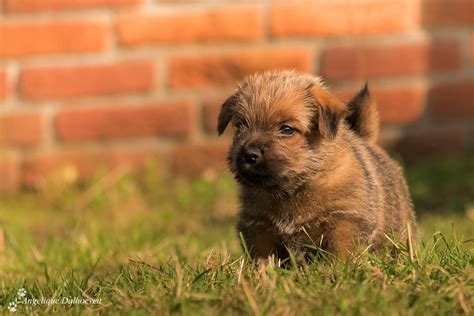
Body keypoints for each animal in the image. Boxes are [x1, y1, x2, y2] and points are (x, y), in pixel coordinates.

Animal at [217, 71, 416, 260]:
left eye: (287, 129)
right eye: (240, 125)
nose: (249, 154)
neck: (294, 189)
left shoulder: (345, 220)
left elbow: (341, 252)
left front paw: (338, 269)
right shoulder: (258, 227)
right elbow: (262, 258)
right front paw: (262, 272)